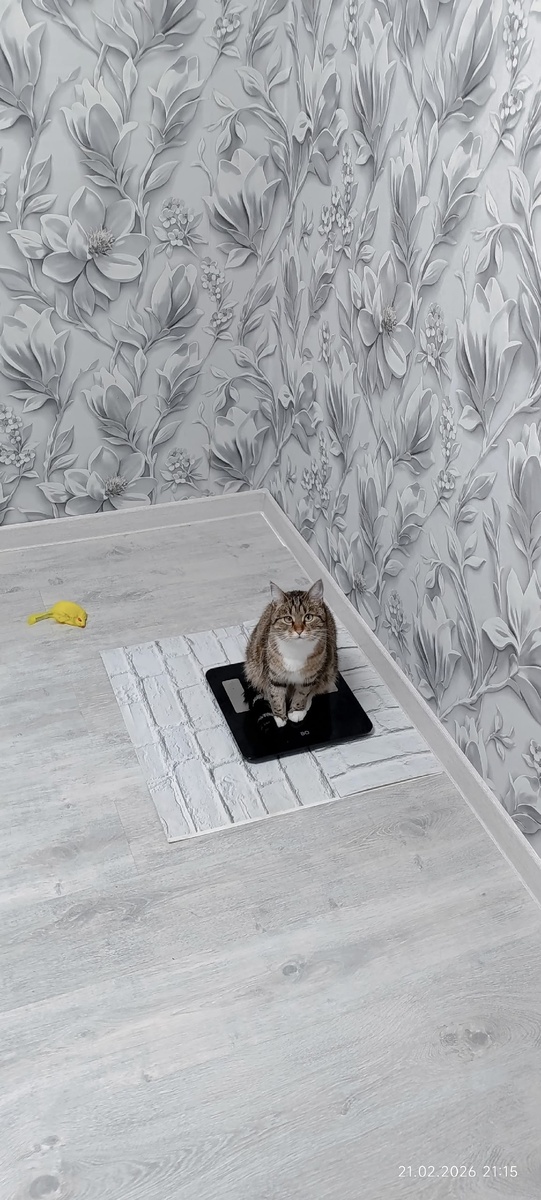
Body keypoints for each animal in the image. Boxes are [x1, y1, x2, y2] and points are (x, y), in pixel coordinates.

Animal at [244, 579, 338, 728]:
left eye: (308, 617)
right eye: (288, 619)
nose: (299, 630)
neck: (296, 650)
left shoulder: (310, 676)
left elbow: (303, 692)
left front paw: (297, 711)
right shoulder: (274, 673)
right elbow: (276, 693)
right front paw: (279, 716)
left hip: (330, 670)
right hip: (253, 663)